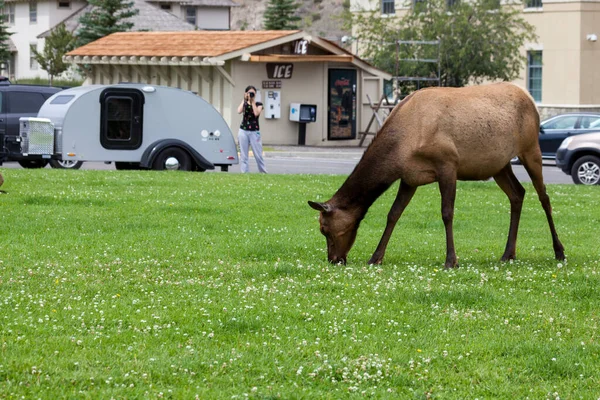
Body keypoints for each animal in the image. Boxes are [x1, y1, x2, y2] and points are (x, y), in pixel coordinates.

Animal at [312, 82, 564, 268]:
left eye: (325, 229)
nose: (334, 260)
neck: (403, 145)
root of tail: (530, 99)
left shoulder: (448, 164)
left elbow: (447, 213)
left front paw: (451, 260)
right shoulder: (409, 177)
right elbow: (393, 214)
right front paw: (375, 257)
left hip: (530, 148)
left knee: (544, 197)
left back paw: (559, 251)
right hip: (500, 165)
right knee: (517, 193)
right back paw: (508, 253)